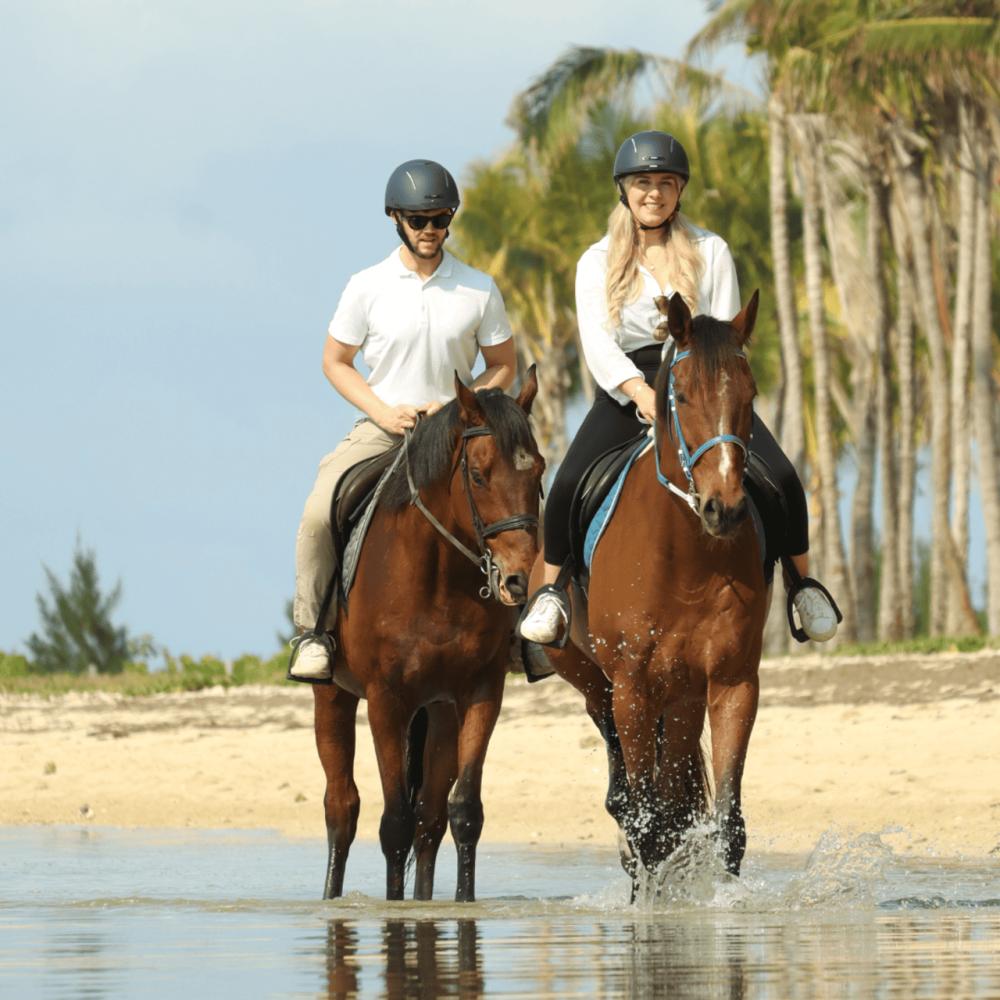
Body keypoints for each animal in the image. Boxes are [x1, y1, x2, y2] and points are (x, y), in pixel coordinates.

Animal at [313, 371, 544, 902]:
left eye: (539, 472)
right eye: (478, 474)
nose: (518, 580)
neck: (438, 578)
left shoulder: (480, 693)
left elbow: (463, 812)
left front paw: (460, 905)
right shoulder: (386, 699)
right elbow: (393, 820)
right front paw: (395, 909)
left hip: (439, 711)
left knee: (431, 816)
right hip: (333, 696)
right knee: (342, 808)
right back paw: (331, 899)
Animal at [536, 292, 767, 891]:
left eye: (751, 394)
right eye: (680, 396)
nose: (724, 508)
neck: (685, 557)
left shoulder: (732, 681)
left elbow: (725, 825)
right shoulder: (632, 688)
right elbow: (646, 825)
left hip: (682, 693)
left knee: (669, 802)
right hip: (594, 682)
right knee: (626, 797)